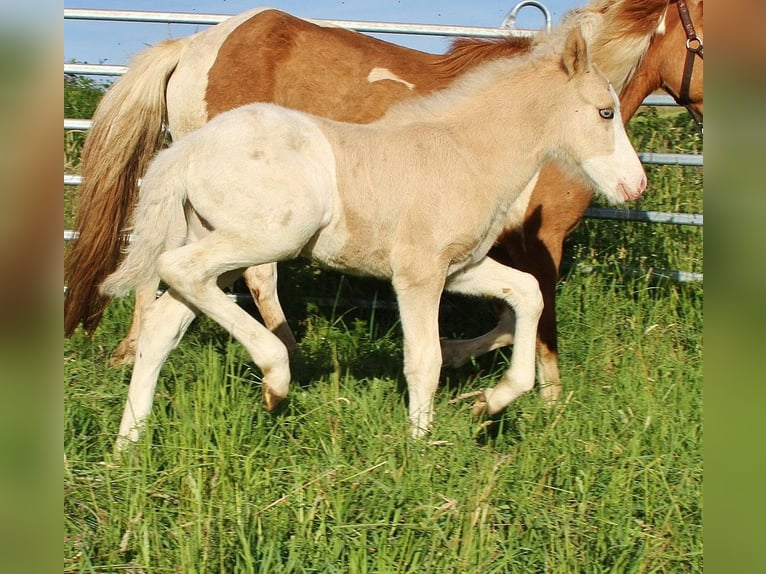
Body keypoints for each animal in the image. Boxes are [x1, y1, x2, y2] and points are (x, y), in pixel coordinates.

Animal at [64, 0, 703, 401]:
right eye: (605, 112)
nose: (636, 187)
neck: (467, 146)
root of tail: (194, 41)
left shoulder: (470, 261)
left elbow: (520, 304)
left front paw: (497, 397)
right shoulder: (481, 255)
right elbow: (486, 334)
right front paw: (537, 403)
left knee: (169, 293)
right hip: (263, 232)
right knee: (205, 274)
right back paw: (280, 366)